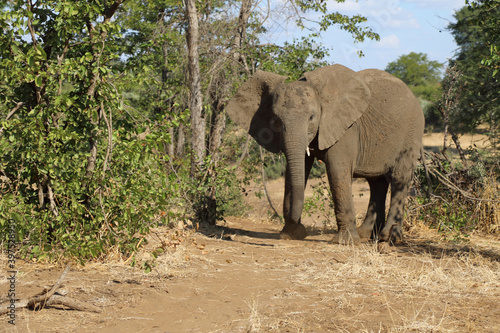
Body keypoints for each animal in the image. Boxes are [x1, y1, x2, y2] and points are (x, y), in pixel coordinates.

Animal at [225, 63, 424, 243]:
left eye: (312, 117)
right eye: (275, 120)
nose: (299, 229)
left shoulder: (345, 128)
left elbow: (337, 172)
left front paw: (345, 242)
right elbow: (296, 172)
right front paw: (290, 235)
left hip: (412, 133)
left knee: (399, 179)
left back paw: (388, 239)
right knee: (377, 183)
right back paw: (366, 235)